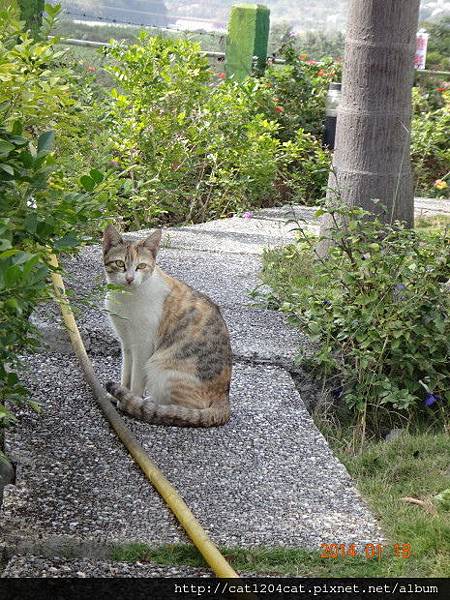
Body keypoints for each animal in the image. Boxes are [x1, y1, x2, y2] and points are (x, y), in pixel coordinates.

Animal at [103, 225, 232, 426]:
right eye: (119, 264)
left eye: (141, 266)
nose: (130, 278)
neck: (125, 298)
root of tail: (224, 396)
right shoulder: (127, 343)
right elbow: (126, 374)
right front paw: (121, 393)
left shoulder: (143, 346)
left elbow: (136, 379)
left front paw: (129, 400)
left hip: (160, 368)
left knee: (186, 410)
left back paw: (148, 404)